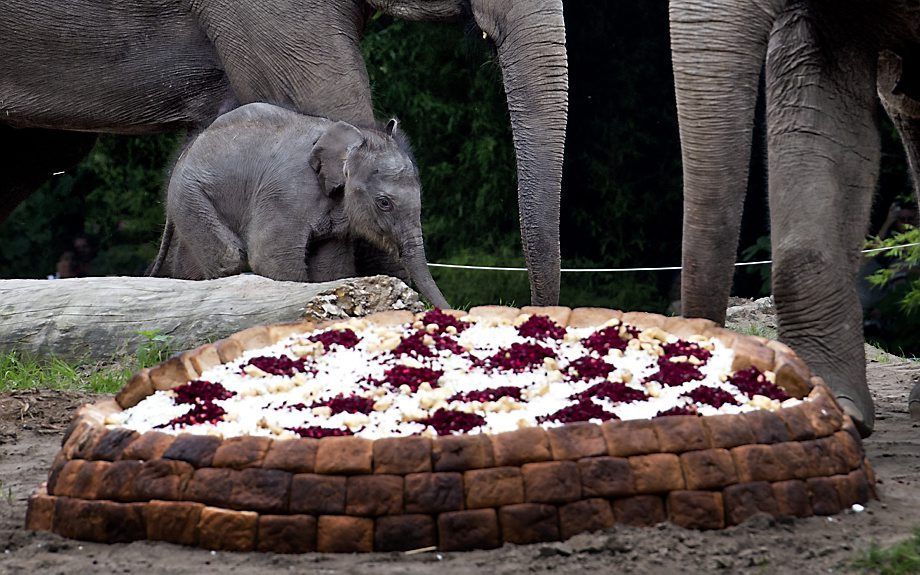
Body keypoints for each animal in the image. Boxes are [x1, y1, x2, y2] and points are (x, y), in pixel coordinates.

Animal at [149, 103, 448, 310]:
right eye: (384, 203)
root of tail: (184, 154)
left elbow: (331, 269)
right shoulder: (286, 193)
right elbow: (271, 259)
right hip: (190, 195)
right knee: (229, 257)